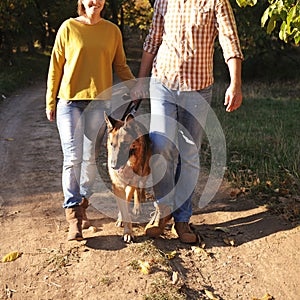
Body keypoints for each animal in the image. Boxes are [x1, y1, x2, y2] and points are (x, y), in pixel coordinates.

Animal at [105, 112, 152, 241]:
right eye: (112, 144)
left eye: (125, 144)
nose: (113, 166)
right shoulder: (117, 186)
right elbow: (123, 206)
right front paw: (126, 229)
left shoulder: (131, 183)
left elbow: (127, 201)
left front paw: (127, 231)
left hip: (145, 171)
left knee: (141, 186)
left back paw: (139, 203)